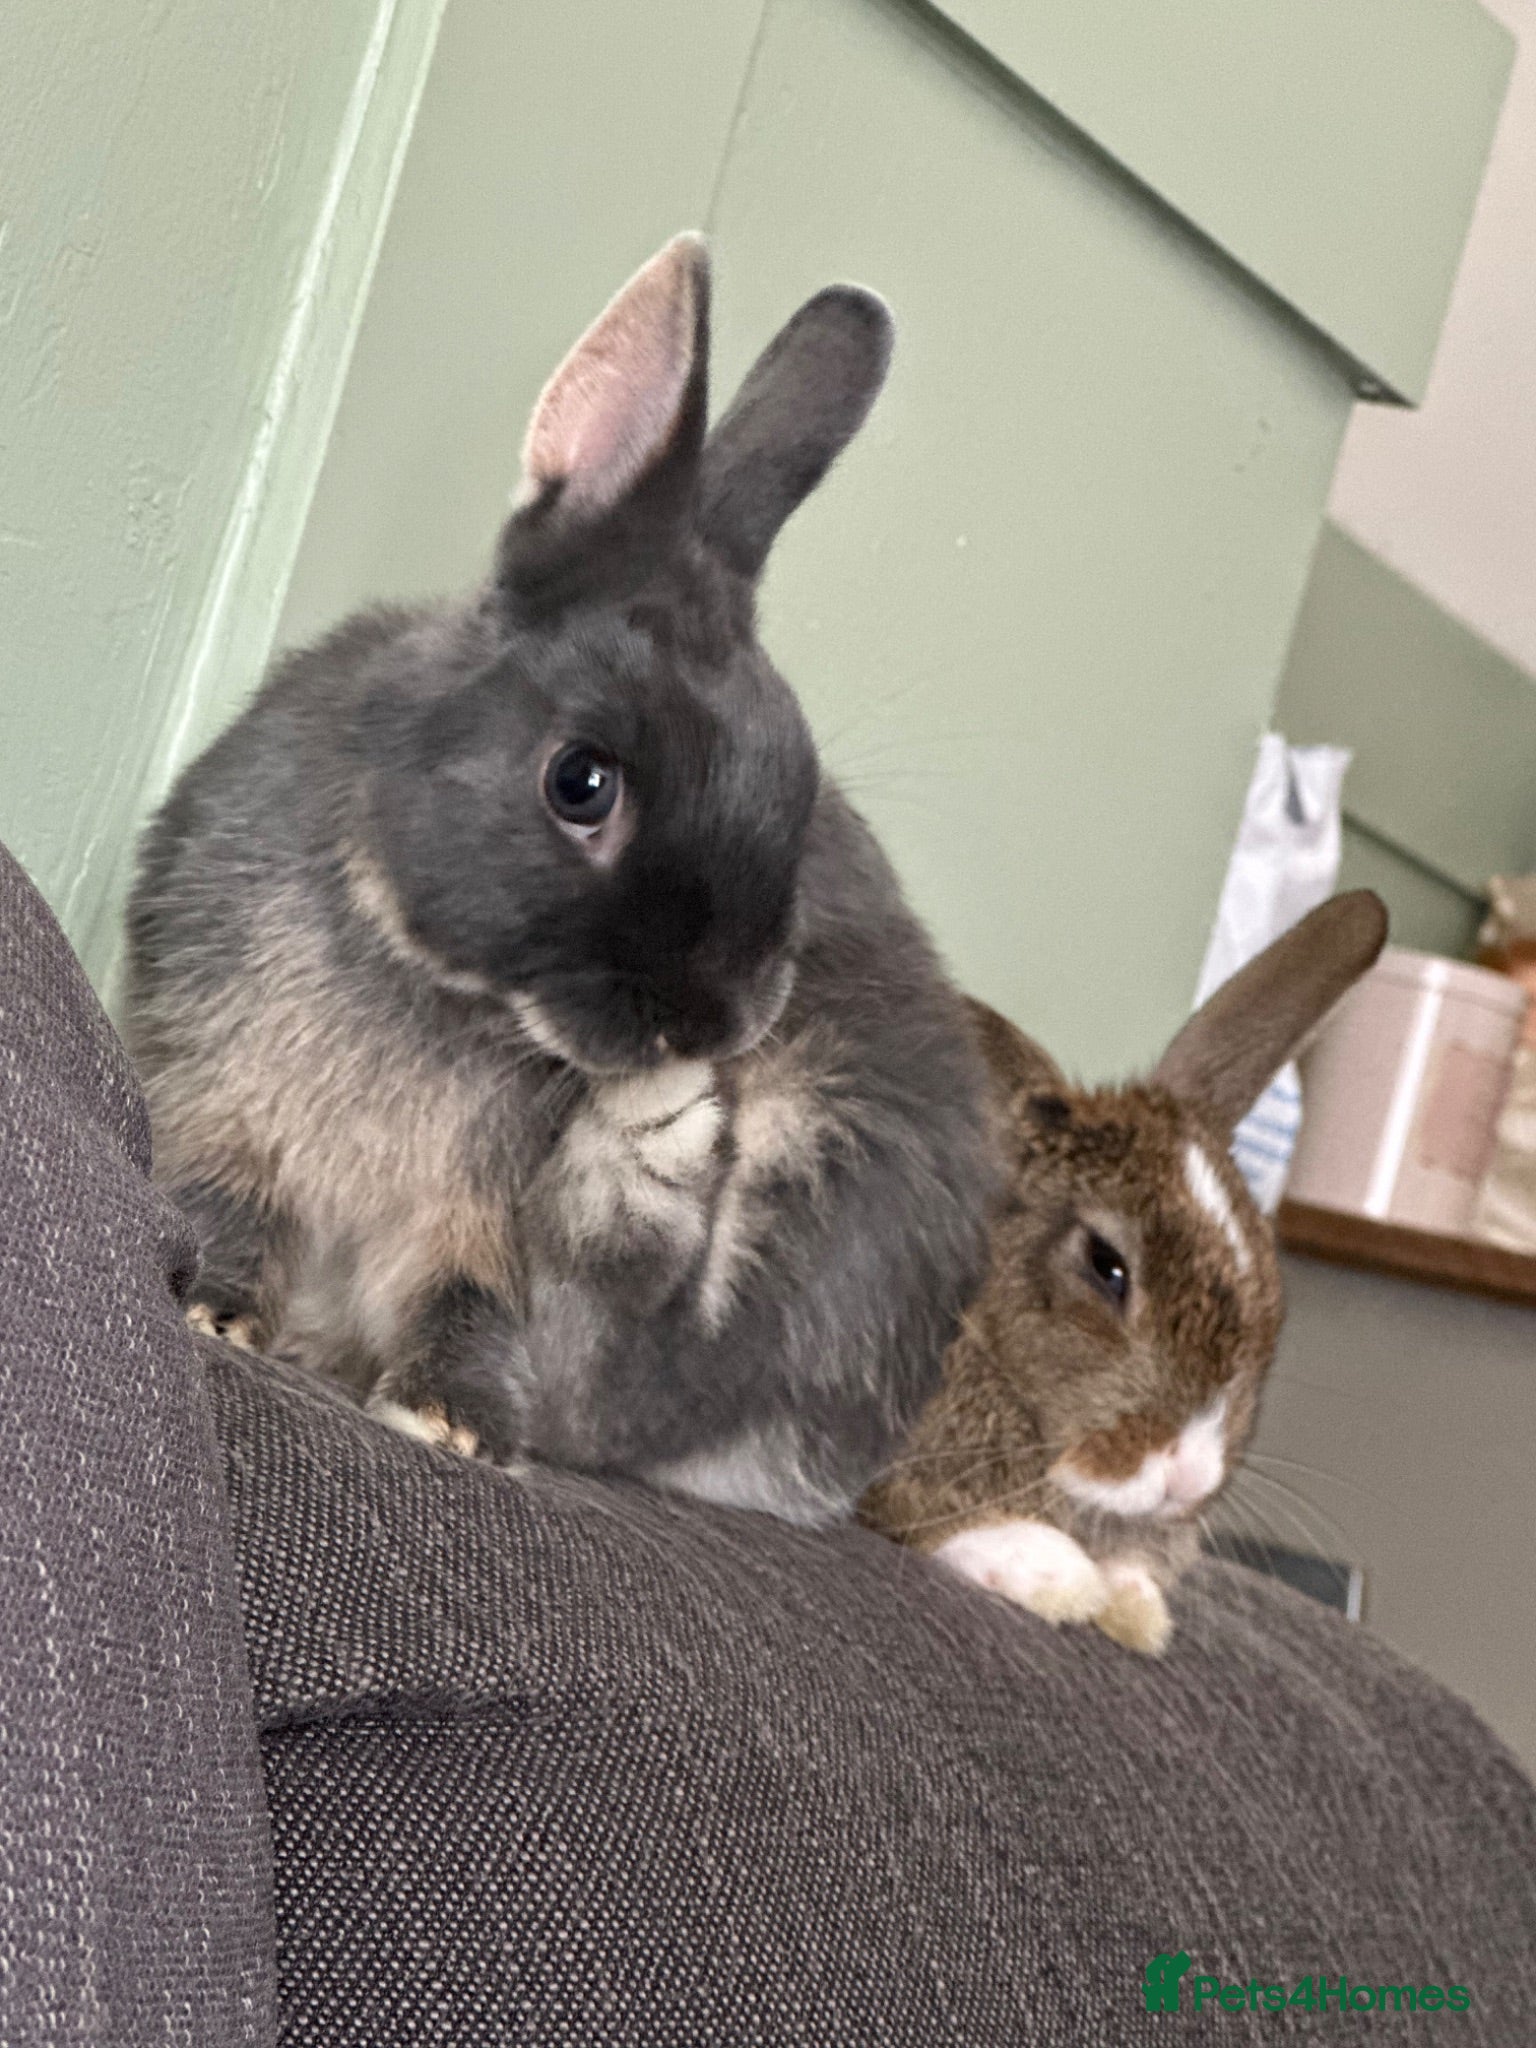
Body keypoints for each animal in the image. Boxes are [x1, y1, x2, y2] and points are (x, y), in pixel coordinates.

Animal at [124, 233, 1000, 1525]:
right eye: (581, 782)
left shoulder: (476, 1231)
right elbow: (227, 1204)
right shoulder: (212, 1095)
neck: (432, 987)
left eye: (796, 780)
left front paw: (456, 1419)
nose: (719, 1023)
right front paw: (212, 1309)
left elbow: (477, 1306)